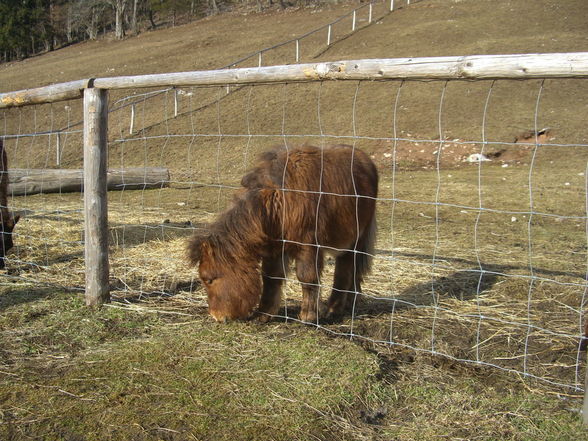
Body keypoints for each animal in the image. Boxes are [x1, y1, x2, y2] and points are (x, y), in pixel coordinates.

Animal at [187, 144, 376, 324]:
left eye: (209, 279)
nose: (216, 316)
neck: (274, 203)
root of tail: (364, 159)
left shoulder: (307, 246)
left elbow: (307, 277)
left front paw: (308, 316)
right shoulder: (275, 248)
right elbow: (270, 277)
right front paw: (263, 315)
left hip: (356, 239)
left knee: (346, 268)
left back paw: (334, 309)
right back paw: (350, 303)